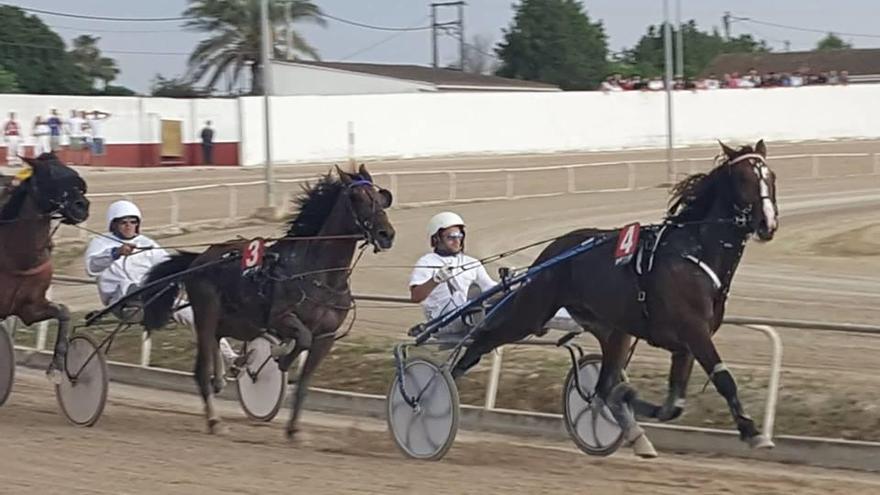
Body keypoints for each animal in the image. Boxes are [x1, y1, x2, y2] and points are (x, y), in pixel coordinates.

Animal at [0, 155, 89, 380]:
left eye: (72, 172)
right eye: (50, 176)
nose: (82, 206)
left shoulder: (29, 307)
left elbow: (63, 312)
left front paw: (57, 365)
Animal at [143, 167, 394, 438]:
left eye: (380, 198)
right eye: (356, 197)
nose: (386, 234)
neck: (320, 276)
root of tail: (199, 259)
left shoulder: (327, 335)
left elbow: (305, 380)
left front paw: (294, 429)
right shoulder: (280, 317)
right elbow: (302, 338)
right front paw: (280, 355)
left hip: (237, 321)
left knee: (217, 339)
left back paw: (222, 377)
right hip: (207, 311)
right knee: (201, 367)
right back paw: (214, 419)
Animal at [454, 140, 776, 458]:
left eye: (770, 176)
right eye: (743, 178)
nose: (768, 223)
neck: (694, 253)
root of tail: (554, 250)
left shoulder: (685, 344)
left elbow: (672, 405)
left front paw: (629, 398)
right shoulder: (694, 331)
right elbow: (724, 379)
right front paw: (753, 432)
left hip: (611, 327)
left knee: (603, 386)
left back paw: (633, 431)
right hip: (532, 312)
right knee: (484, 340)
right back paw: (448, 384)